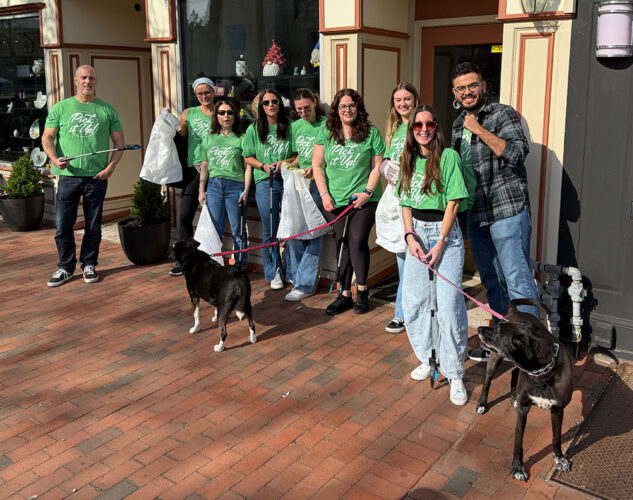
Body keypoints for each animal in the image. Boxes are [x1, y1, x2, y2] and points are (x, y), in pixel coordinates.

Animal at [476, 298, 573, 482]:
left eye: (498, 331)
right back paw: (482, 404)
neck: (542, 373)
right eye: (498, 326)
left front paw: (560, 459)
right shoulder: (522, 410)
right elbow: (518, 443)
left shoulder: (557, 410)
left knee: (515, 371)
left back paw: (513, 396)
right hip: (495, 359)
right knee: (486, 381)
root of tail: (514, 310)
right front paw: (518, 468)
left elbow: (556, 438)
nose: (479, 328)